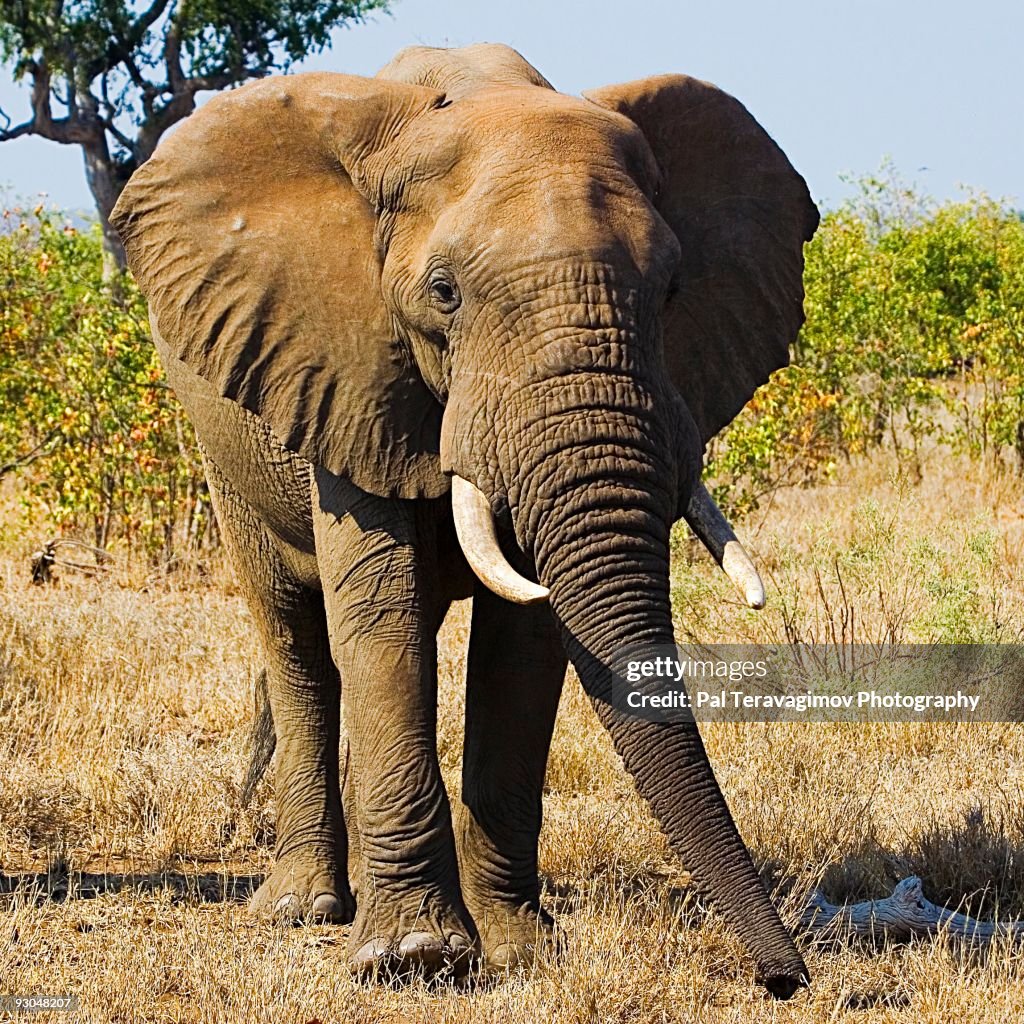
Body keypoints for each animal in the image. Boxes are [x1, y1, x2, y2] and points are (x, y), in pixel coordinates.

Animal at [110, 43, 819, 996]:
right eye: (443, 293)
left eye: (672, 289)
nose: (785, 979)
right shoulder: (347, 364)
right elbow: (380, 617)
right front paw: (415, 958)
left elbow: (527, 644)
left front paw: (522, 951)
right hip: (226, 453)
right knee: (297, 641)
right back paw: (304, 909)